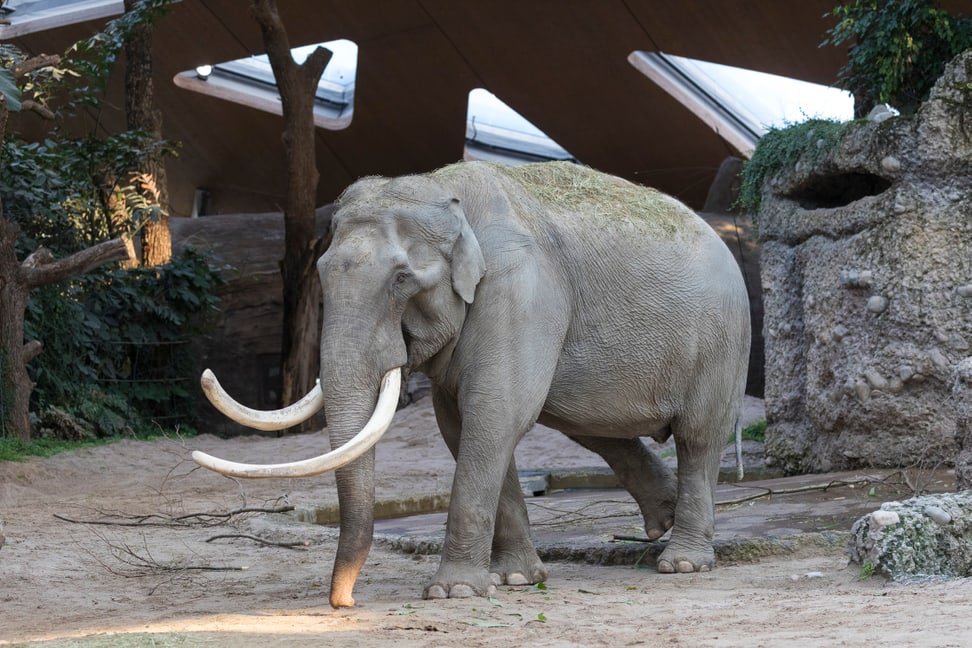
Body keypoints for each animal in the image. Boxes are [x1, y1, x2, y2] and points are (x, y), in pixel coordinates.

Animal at [192, 161, 752, 608]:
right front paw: (515, 580)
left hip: (721, 343)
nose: (345, 603)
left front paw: (453, 592)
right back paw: (663, 521)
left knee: (699, 436)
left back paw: (683, 562)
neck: (443, 189)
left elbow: (494, 414)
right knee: (592, 427)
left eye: (401, 279)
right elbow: (461, 427)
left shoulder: (519, 290)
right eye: (324, 273)